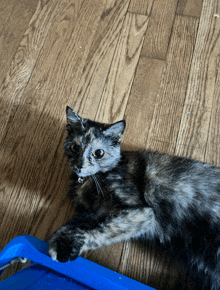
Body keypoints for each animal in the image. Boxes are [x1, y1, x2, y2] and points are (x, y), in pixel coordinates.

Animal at [48, 106, 220, 290]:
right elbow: (74, 224)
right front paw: (58, 240)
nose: (80, 165)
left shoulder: (140, 212)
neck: (88, 180)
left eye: (99, 153)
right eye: (74, 148)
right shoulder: (91, 212)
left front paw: (65, 247)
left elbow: (100, 228)